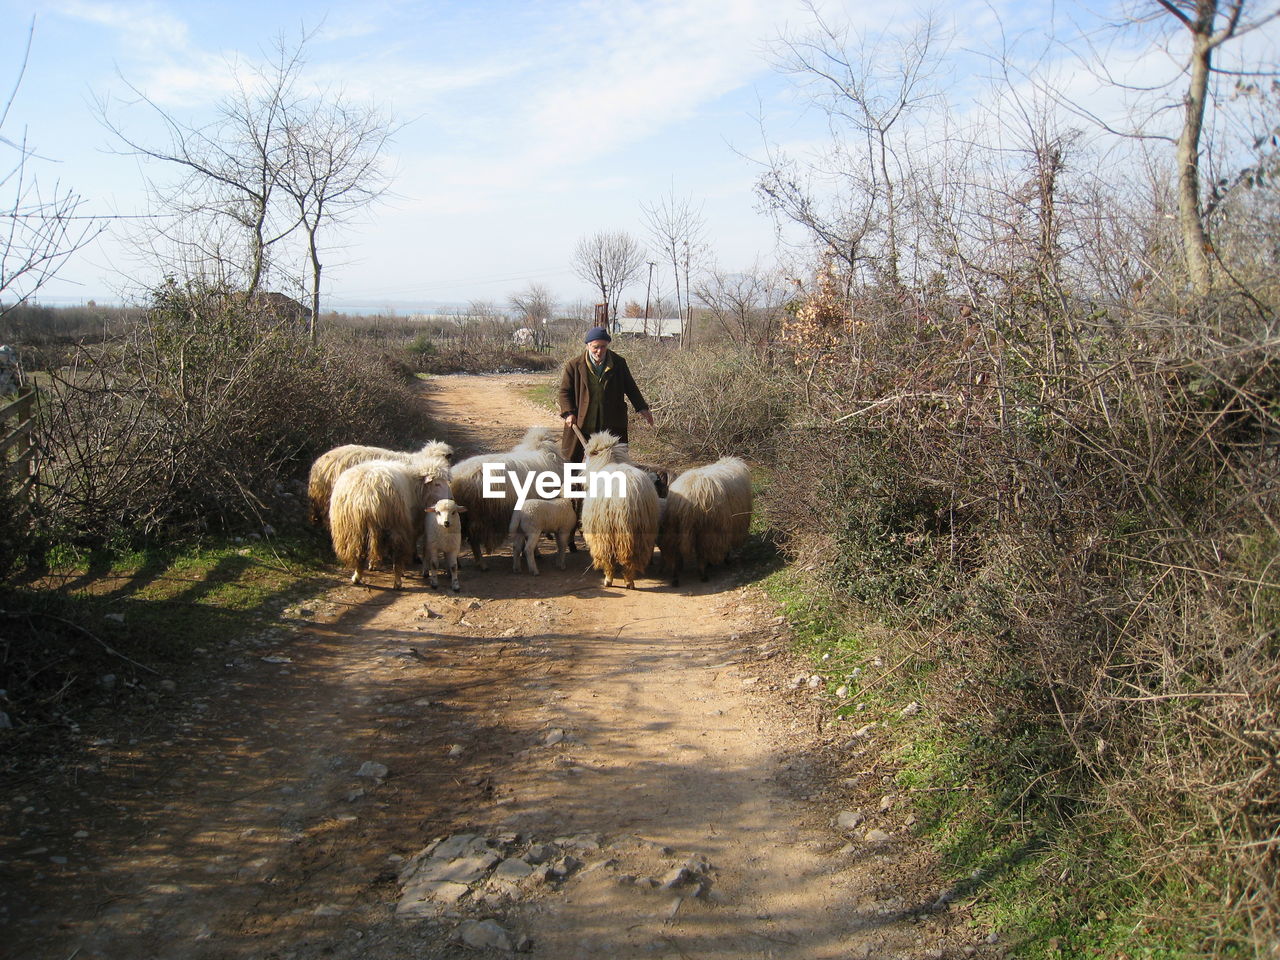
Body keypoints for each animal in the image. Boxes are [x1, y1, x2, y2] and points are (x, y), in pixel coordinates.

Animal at [327, 455, 453, 591]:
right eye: (437, 484)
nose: (451, 498)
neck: (416, 487)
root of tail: (367, 495)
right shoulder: (410, 523)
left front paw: (373, 564)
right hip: (395, 524)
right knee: (396, 554)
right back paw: (397, 581)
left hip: (355, 528)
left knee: (360, 553)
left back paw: (357, 577)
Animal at [453, 427, 568, 570]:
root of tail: (458, 479)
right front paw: (536, 553)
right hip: (478, 515)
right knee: (473, 540)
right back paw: (482, 564)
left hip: (462, 514)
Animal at [581, 432, 660, 591]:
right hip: (641, 531)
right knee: (633, 558)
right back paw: (630, 580)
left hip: (605, 530)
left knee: (609, 558)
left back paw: (610, 580)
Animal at [655, 455, 752, 586]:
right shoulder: (725, 527)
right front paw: (725, 559)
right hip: (706, 529)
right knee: (701, 553)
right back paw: (703, 574)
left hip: (674, 526)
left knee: (675, 551)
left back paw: (675, 578)